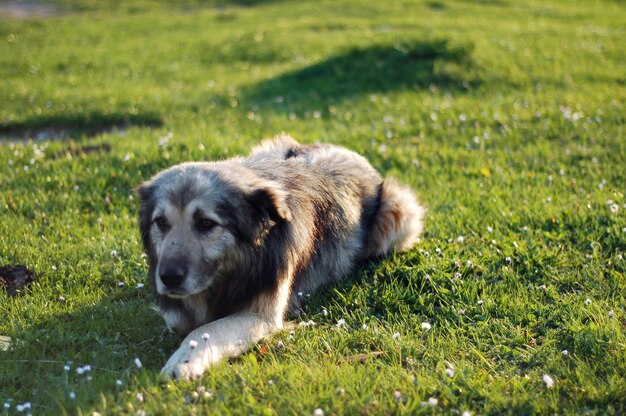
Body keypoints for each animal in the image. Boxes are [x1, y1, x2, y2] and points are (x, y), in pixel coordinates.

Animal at [138, 135, 424, 378]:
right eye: (161, 222)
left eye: (206, 223)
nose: (168, 278)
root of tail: (353, 153)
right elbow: (182, 320)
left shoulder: (261, 314)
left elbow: (205, 329)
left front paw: (184, 361)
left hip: (398, 210)